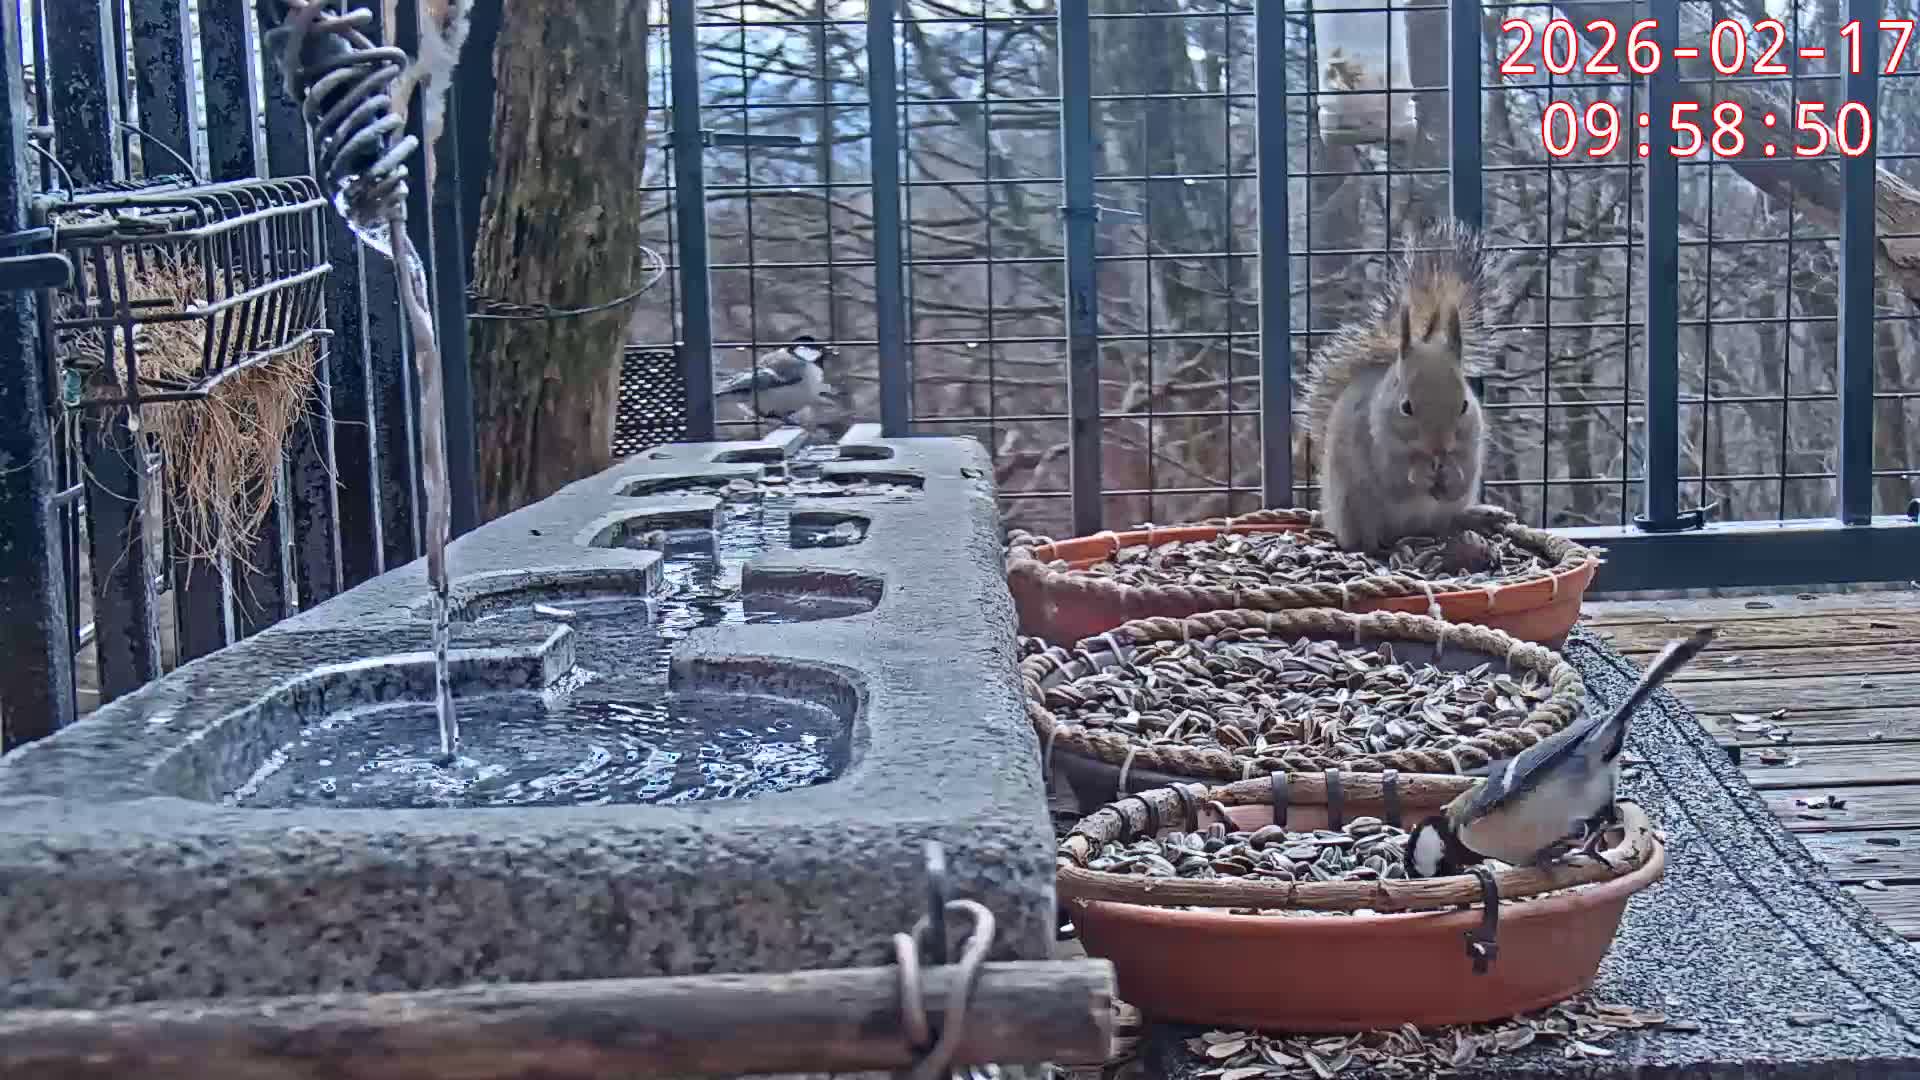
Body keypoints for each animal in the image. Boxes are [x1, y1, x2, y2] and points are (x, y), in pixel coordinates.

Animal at [1302, 220, 1510, 554]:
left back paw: (1475, 517)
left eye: (1464, 405)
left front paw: (1452, 476)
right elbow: (1396, 479)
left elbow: (1464, 473)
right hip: (1353, 505)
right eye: (1406, 407)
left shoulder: (1472, 441)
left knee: (1444, 522)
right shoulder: (1373, 440)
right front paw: (1420, 474)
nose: (1439, 447)